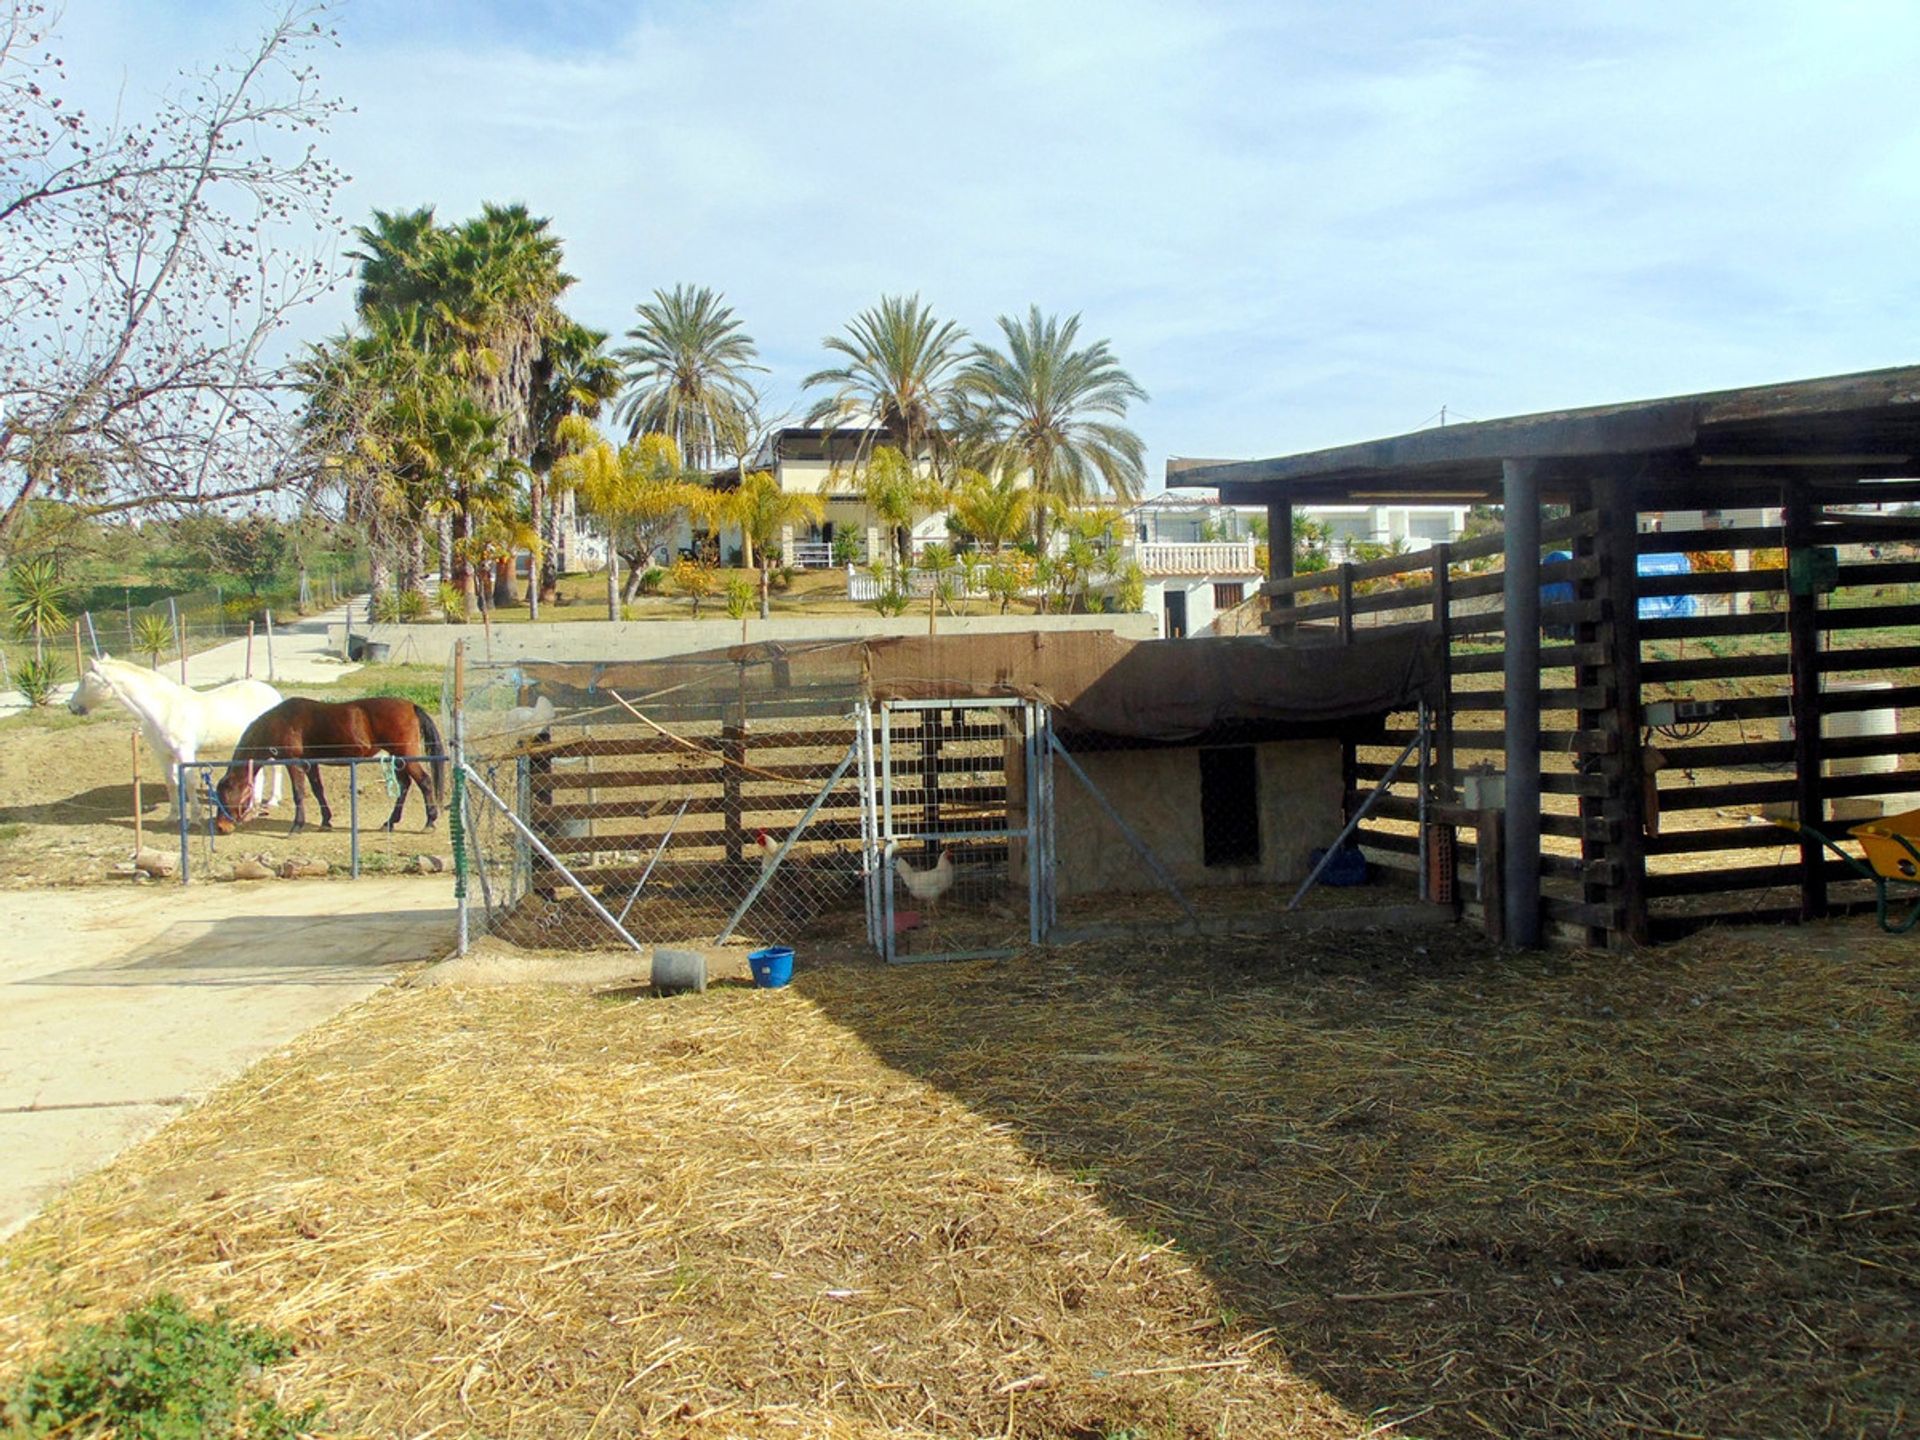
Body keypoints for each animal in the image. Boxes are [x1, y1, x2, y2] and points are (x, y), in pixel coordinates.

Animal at [70, 656, 286, 817]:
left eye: (85, 680)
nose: (71, 707)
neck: (164, 709)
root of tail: (272, 693)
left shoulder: (185, 753)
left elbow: (189, 783)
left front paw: (196, 817)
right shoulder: (163, 754)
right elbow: (172, 783)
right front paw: (173, 816)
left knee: (275, 769)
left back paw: (272, 800)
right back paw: (253, 803)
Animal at [214, 695, 445, 833]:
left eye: (226, 796)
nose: (221, 827)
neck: (281, 722)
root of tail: (411, 706)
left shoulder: (294, 764)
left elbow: (299, 793)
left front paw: (296, 826)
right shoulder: (310, 764)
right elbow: (318, 790)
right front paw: (326, 821)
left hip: (406, 755)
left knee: (424, 782)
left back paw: (430, 822)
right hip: (399, 758)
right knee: (405, 785)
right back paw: (390, 822)